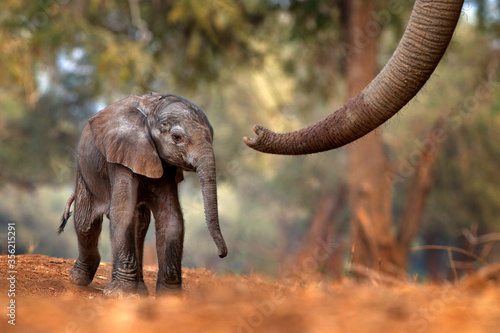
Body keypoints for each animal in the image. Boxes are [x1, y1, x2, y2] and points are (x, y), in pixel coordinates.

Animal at [59, 92, 229, 296]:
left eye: (212, 137)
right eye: (177, 137)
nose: (221, 255)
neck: (152, 114)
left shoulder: (166, 168)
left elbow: (171, 218)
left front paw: (170, 297)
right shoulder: (121, 156)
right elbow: (122, 213)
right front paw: (117, 294)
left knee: (139, 223)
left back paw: (140, 291)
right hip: (85, 168)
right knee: (86, 222)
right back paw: (78, 279)